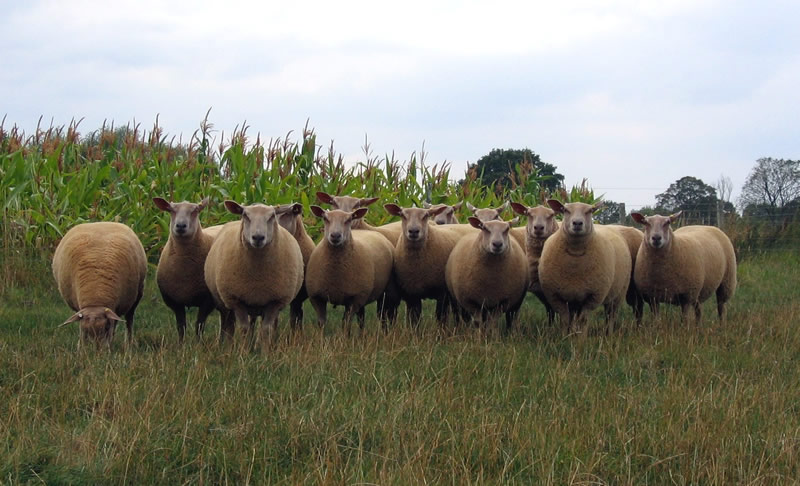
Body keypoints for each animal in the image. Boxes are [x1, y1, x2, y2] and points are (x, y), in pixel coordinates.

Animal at [153, 196, 220, 342]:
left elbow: (199, 325)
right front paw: (181, 344)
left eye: (195, 210)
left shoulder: (207, 300)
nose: (180, 226)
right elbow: (181, 326)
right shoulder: (175, 301)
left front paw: (198, 344)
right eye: (171, 210)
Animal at [205, 201, 304, 350]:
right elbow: (243, 329)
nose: (258, 237)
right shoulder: (236, 300)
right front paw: (243, 352)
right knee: (229, 324)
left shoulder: (274, 301)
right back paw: (229, 346)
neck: (257, 276)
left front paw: (265, 352)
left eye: (272, 216)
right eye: (245, 215)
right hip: (226, 301)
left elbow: (266, 329)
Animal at [304, 205, 398, 334]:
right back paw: (362, 335)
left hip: (384, 292)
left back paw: (386, 333)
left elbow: (346, 324)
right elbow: (321, 323)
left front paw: (345, 338)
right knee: (362, 318)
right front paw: (320, 338)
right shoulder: (316, 297)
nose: (335, 236)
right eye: (325, 218)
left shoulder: (355, 298)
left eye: (349, 220)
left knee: (383, 315)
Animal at [536, 200, 632, 334]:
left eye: (590, 210)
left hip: (619, 293)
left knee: (611, 315)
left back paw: (609, 333)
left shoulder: (593, 296)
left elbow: (583, 321)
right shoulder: (556, 296)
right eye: (565, 210)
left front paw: (581, 338)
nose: (577, 223)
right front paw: (565, 336)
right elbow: (565, 320)